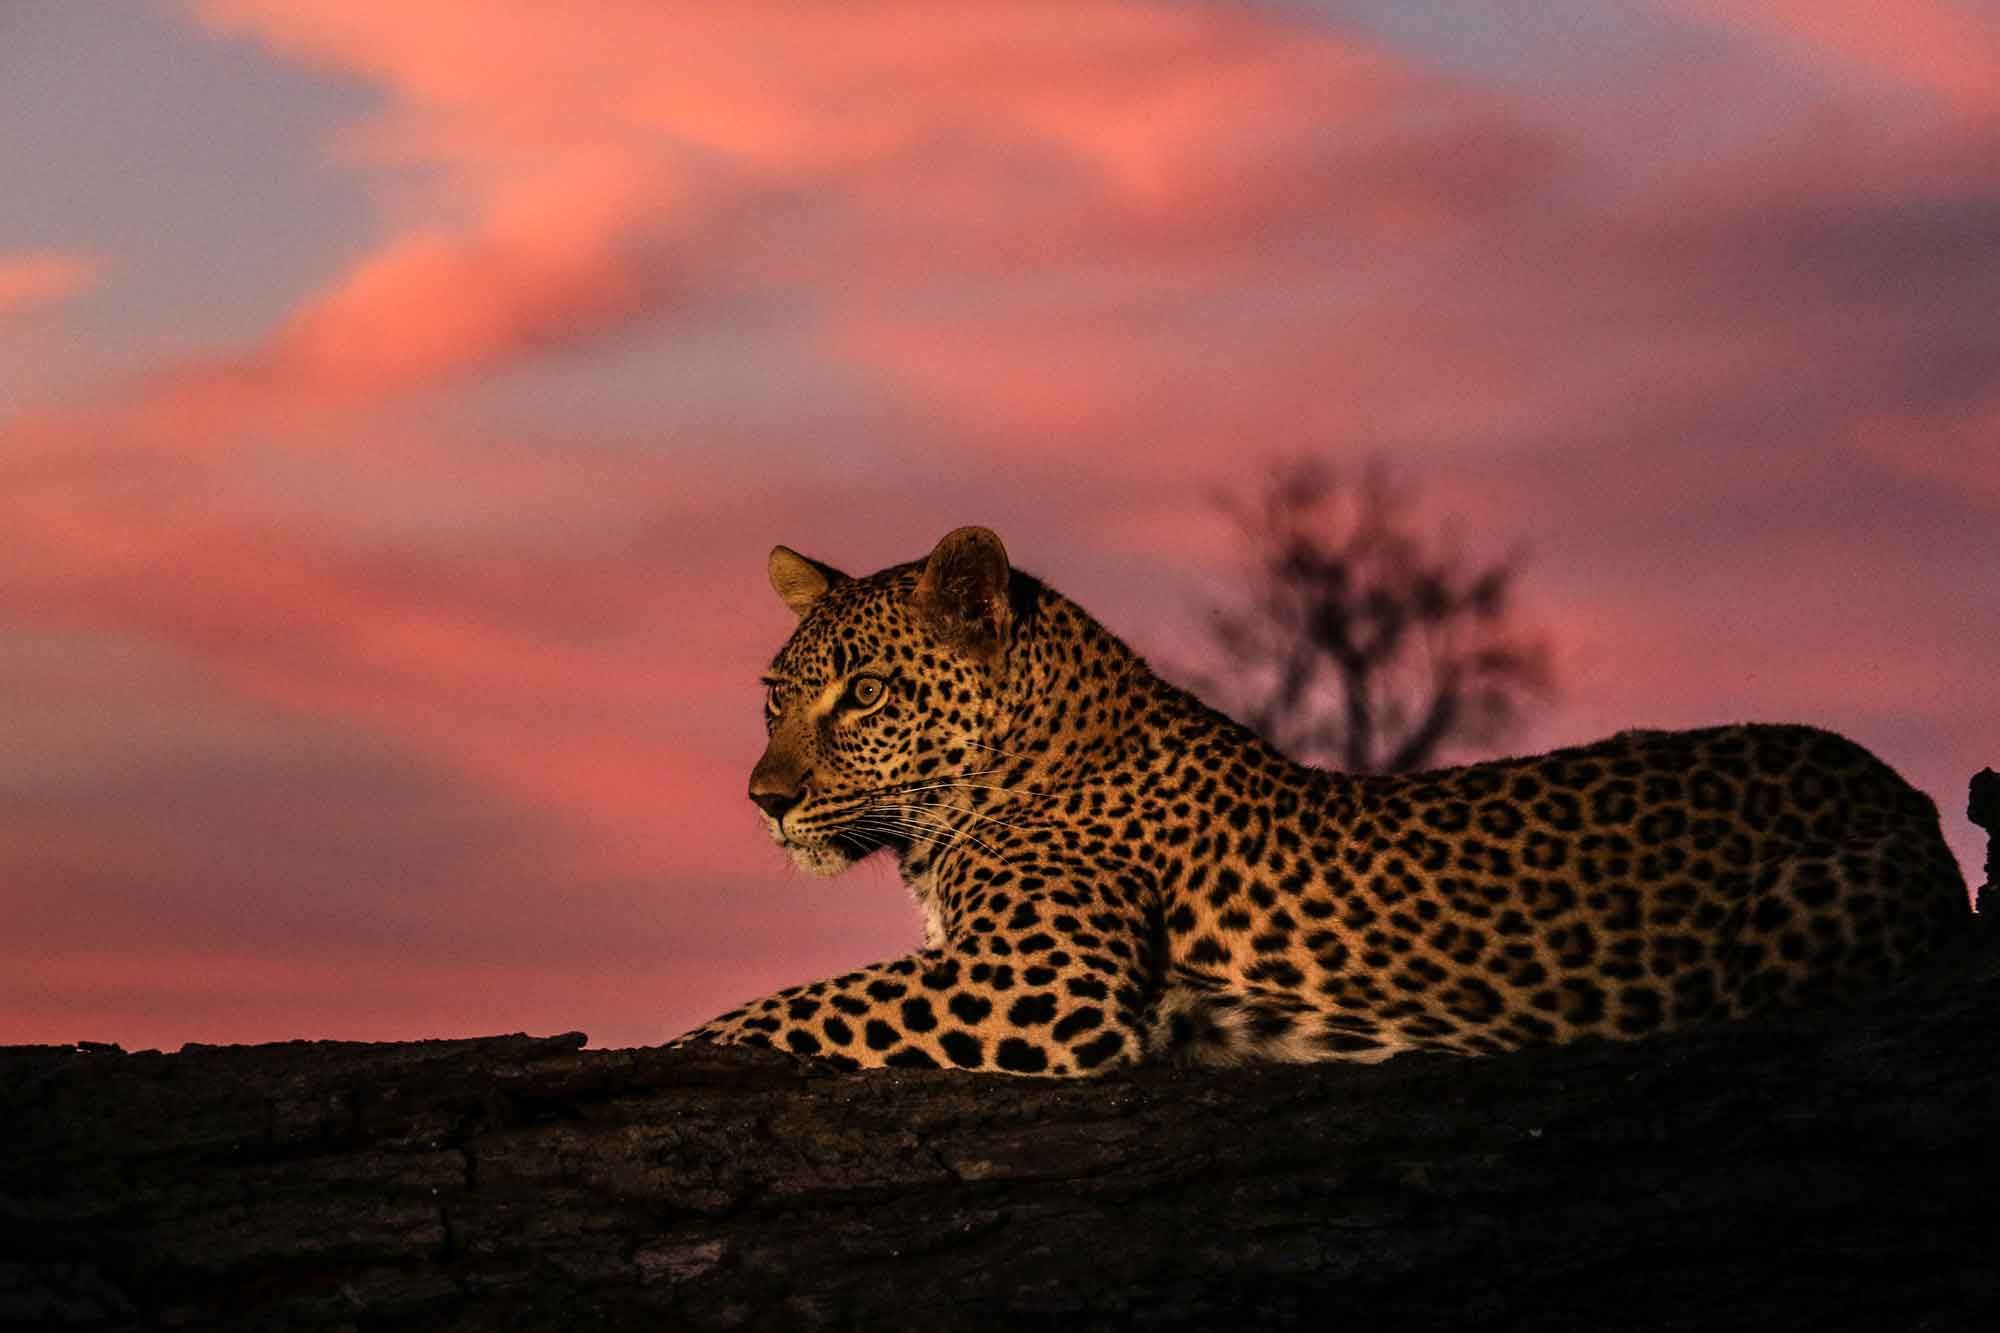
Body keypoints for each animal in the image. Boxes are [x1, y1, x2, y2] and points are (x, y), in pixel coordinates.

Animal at [672, 526, 1969, 1075]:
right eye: (772, 697)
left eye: (861, 693)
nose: (761, 798)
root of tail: (1902, 795)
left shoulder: (1040, 978)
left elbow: (786, 1008)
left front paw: (671, 1044)